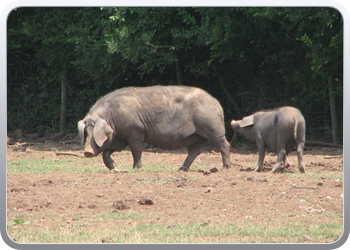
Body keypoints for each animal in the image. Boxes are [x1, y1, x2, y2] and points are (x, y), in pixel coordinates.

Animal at [77, 85, 231, 171]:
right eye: (86, 133)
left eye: (94, 133)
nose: (87, 152)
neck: (111, 119)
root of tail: (216, 103)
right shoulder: (120, 138)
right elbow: (107, 151)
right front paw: (113, 167)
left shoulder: (135, 131)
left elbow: (136, 151)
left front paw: (135, 168)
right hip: (194, 135)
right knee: (194, 151)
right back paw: (181, 170)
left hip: (212, 126)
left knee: (224, 144)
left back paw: (225, 168)